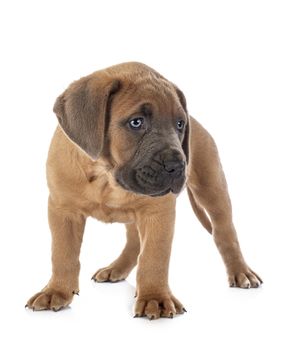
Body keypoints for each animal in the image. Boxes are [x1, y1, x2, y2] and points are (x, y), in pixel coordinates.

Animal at [26, 61, 264, 318]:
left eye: (179, 124)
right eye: (136, 122)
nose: (178, 165)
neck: (106, 176)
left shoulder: (158, 213)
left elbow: (154, 257)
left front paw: (155, 298)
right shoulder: (63, 211)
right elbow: (63, 254)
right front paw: (56, 291)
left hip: (213, 190)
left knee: (225, 233)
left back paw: (241, 272)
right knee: (134, 240)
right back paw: (117, 268)